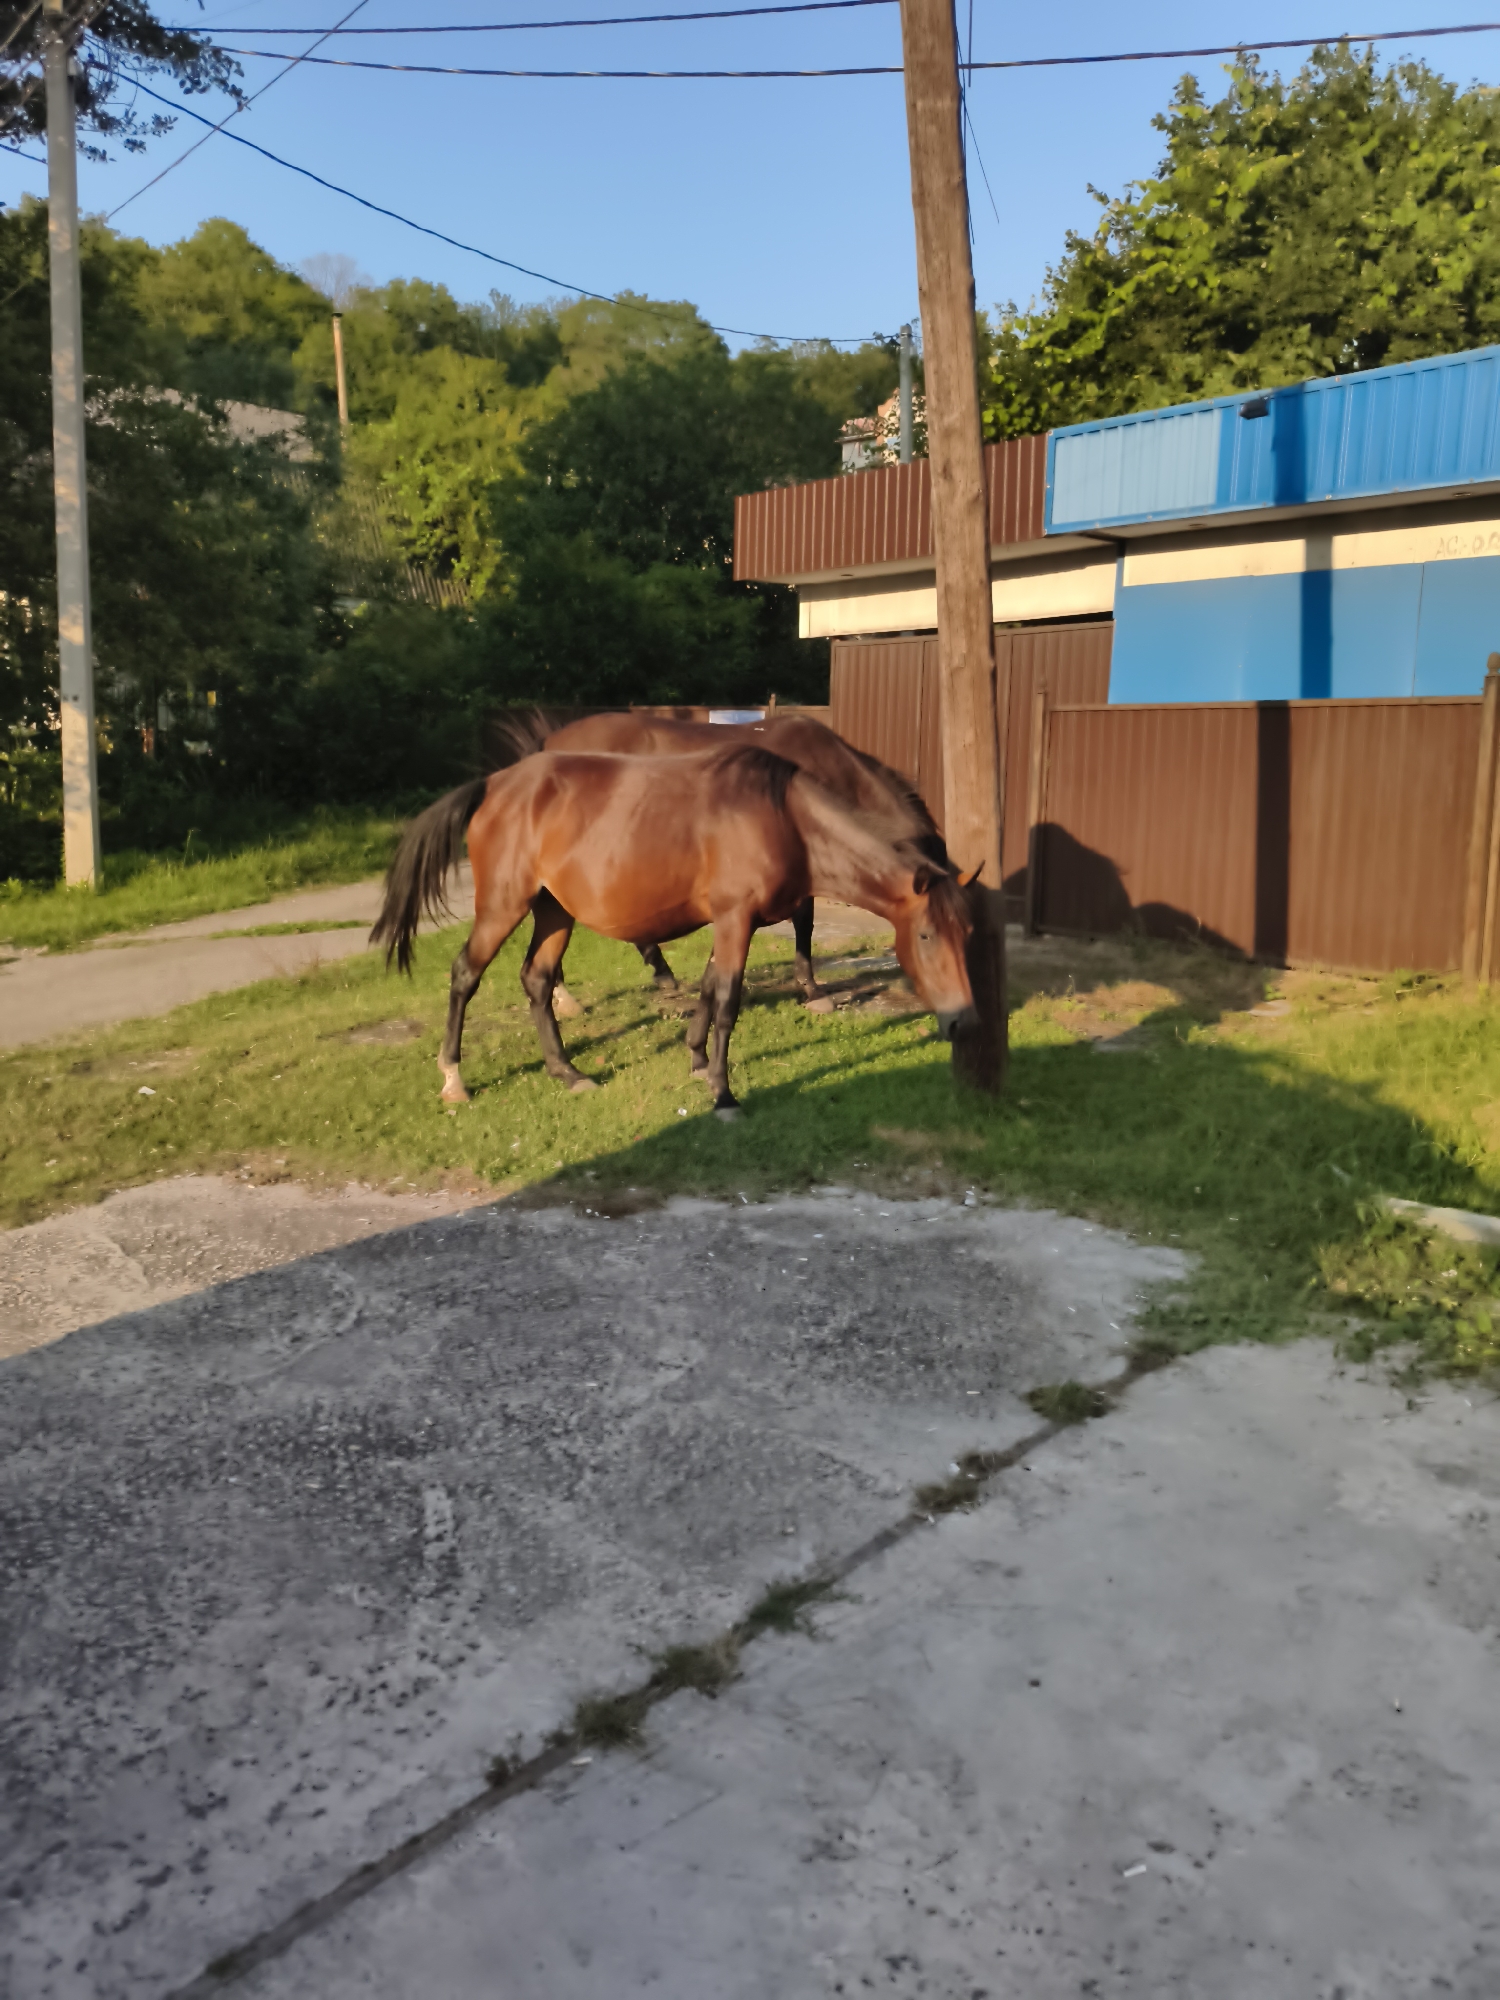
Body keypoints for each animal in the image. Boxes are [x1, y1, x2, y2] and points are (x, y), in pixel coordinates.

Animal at [369, 743, 977, 1117]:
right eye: (927, 937)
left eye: (966, 932)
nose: (963, 1022)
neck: (784, 819)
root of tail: (494, 785)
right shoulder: (735, 921)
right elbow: (728, 1000)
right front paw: (723, 1093)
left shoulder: (731, 923)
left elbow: (707, 989)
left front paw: (697, 1061)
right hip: (502, 907)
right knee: (464, 975)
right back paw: (454, 1078)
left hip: (554, 911)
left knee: (537, 980)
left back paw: (568, 1073)